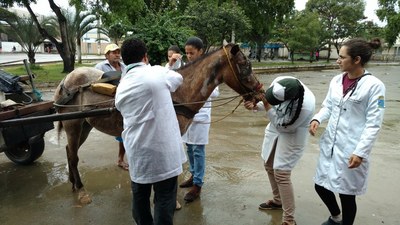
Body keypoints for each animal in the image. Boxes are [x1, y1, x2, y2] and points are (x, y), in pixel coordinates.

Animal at [54, 43, 266, 203]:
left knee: (69, 151)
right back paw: (81, 189)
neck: (180, 91)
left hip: (85, 125)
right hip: (73, 125)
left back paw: (73, 182)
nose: (260, 93)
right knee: (73, 156)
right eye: (245, 65)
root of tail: (65, 81)